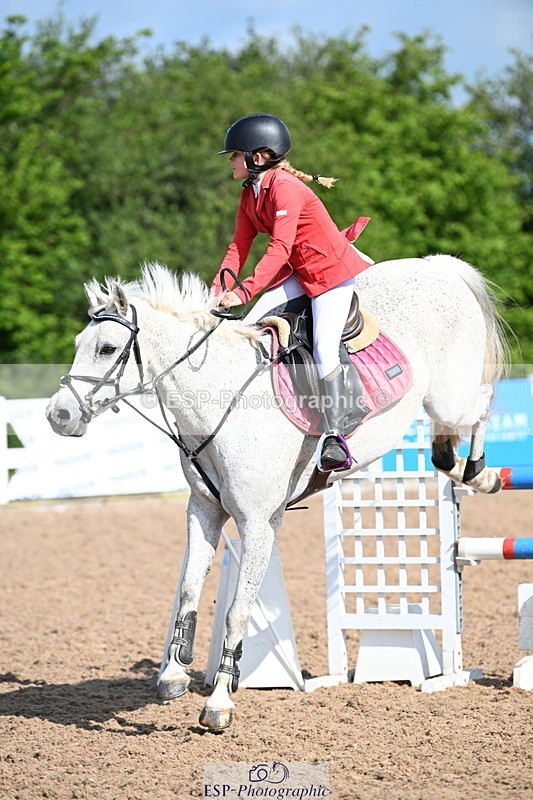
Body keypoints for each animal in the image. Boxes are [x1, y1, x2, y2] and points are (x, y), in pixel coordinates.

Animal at [45, 254, 508, 730]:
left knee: (482, 400)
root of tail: (437, 265)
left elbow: (237, 612)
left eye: (106, 348)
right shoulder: (203, 511)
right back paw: (465, 470)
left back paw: (482, 474)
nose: (58, 415)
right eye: (80, 342)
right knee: (443, 450)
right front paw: (173, 676)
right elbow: (189, 591)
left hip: (451, 397)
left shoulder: (258, 524)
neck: (219, 400)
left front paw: (219, 702)